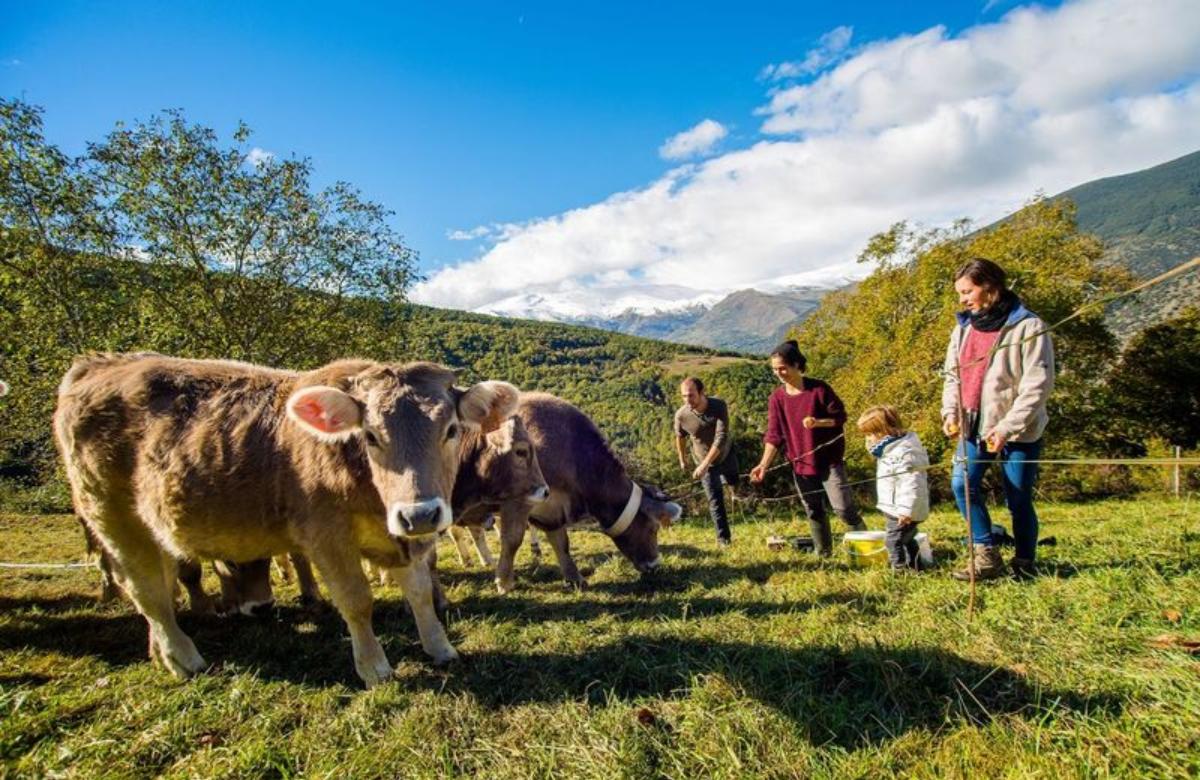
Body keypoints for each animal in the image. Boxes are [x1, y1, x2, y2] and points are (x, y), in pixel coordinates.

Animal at [54, 352, 518, 686]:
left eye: (451, 429)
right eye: (370, 435)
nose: (419, 512)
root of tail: (97, 364)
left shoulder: (401, 538)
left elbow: (420, 592)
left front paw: (439, 648)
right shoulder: (326, 537)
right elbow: (357, 601)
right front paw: (374, 667)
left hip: (153, 528)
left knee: (161, 586)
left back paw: (160, 653)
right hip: (112, 517)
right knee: (146, 591)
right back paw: (184, 658)